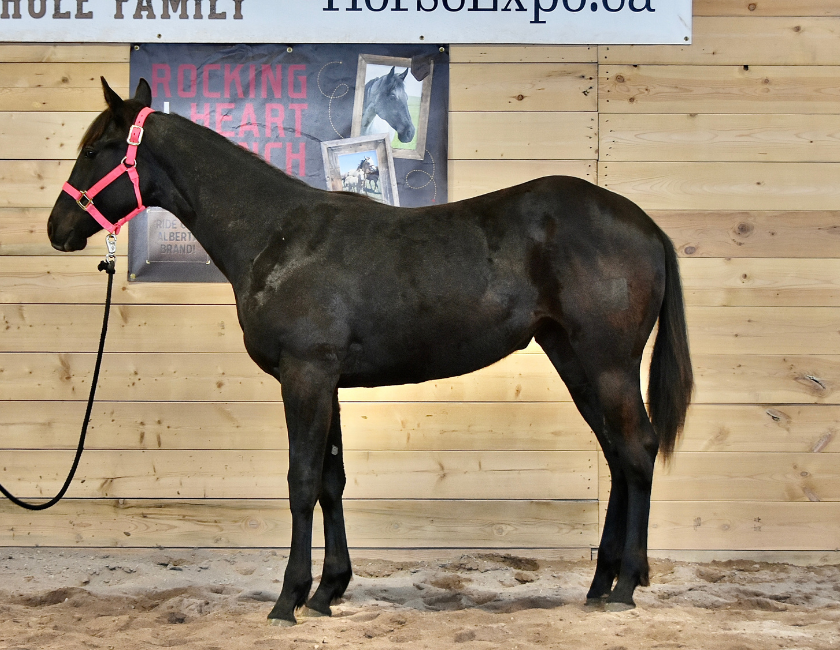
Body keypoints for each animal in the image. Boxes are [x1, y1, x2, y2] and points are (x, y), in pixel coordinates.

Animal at [47, 79, 693, 626]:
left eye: (96, 148)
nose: (57, 228)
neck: (278, 236)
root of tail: (645, 225)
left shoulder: (305, 374)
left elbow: (302, 480)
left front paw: (288, 599)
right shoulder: (324, 379)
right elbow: (331, 481)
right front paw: (328, 591)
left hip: (606, 364)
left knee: (637, 450)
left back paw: (626, 587)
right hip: (574, 362)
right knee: (617, 456)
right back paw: (600, 584)